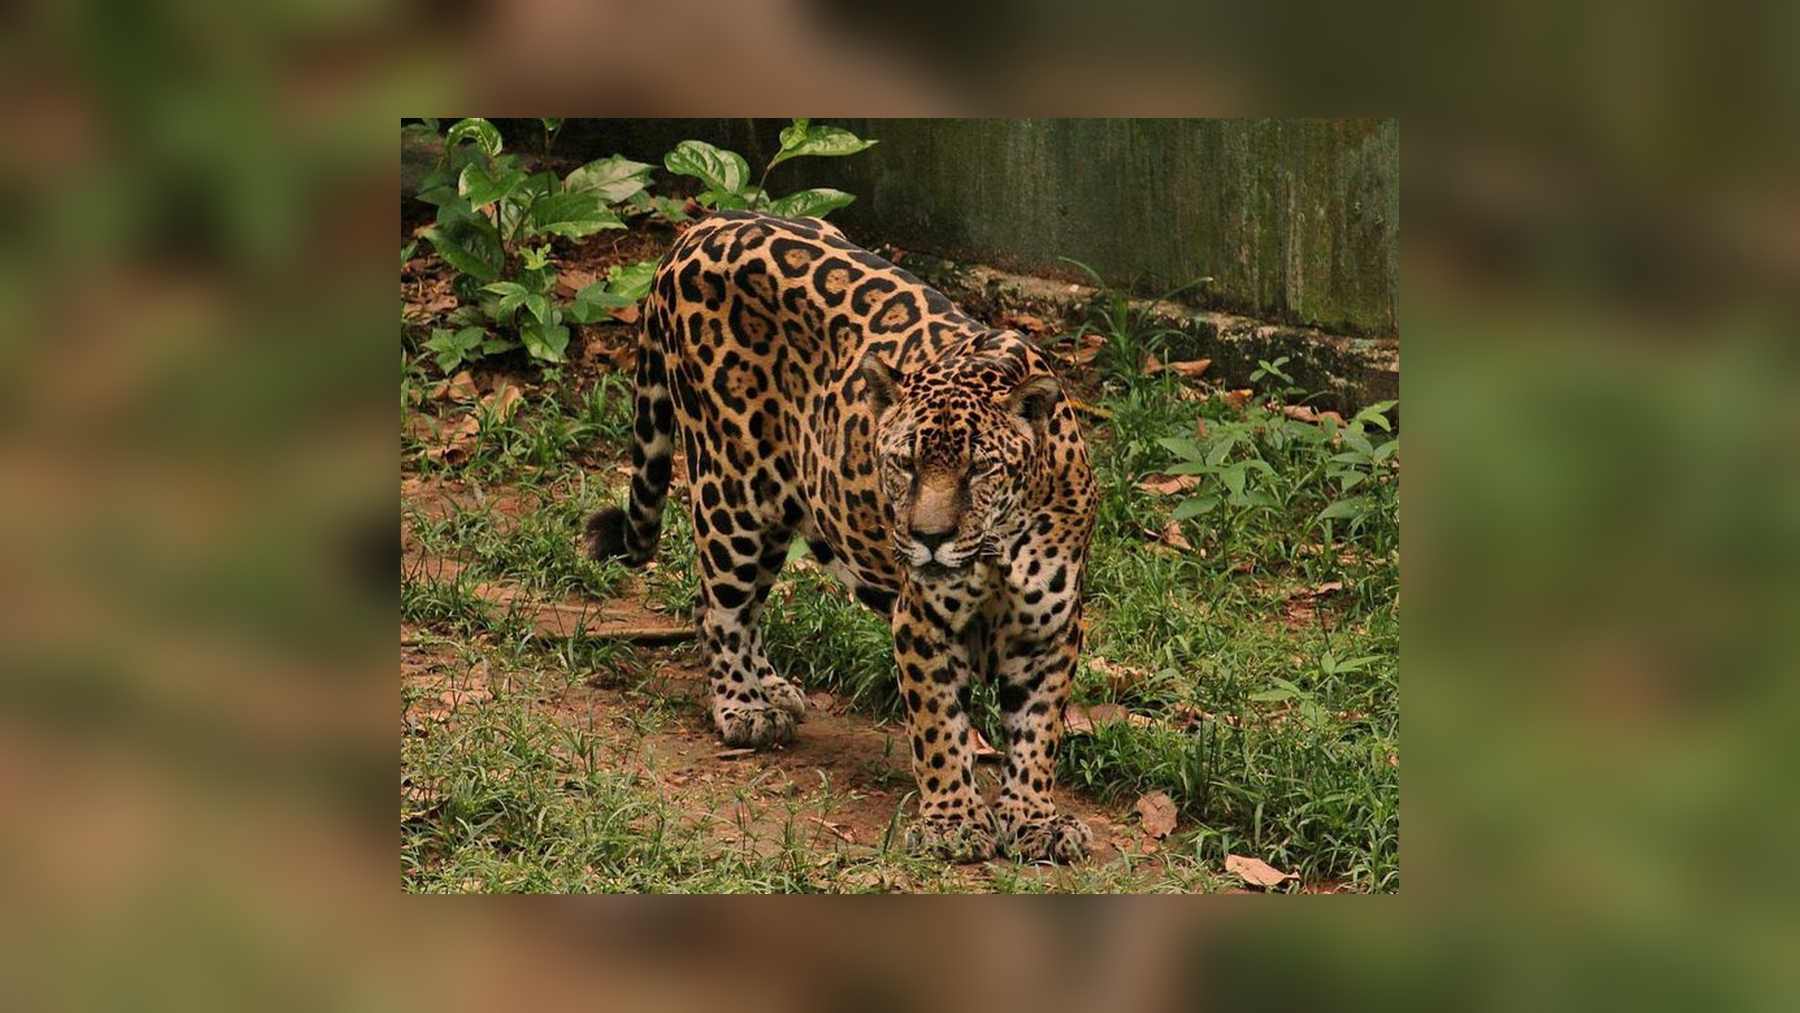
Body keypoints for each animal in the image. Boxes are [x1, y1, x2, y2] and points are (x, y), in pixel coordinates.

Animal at [585, 210, 1097, 863]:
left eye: (979, 469)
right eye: (903, 463)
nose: (928, 537)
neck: (997, 547)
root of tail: (704, 226)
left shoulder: (1051, 627)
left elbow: (1037, 735)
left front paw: (1035, 819)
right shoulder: (922, 621)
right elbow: (939, 728)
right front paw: (953, 820)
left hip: (785, 506)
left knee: (741, 603)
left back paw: (772, 689)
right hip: (732, 487)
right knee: (720, 606)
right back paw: (743, 705)